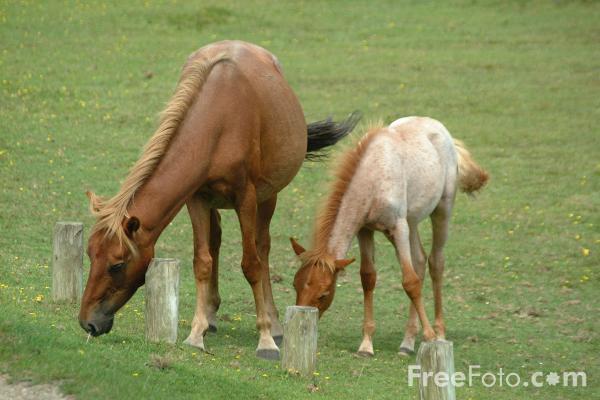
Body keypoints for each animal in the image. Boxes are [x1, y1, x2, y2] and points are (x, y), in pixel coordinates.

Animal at [77, 40, 358, 360]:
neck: (219, 122)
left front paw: (265, 339)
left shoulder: (246, 198)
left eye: (117, 265)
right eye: (90, 254)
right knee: (216, 240)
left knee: (262, 247)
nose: (87, 322)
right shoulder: (197, 198)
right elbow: (202, 261)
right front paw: (196, 333)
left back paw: (274, 324)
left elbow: (252, 264)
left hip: (268, 198)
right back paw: (211, 316)